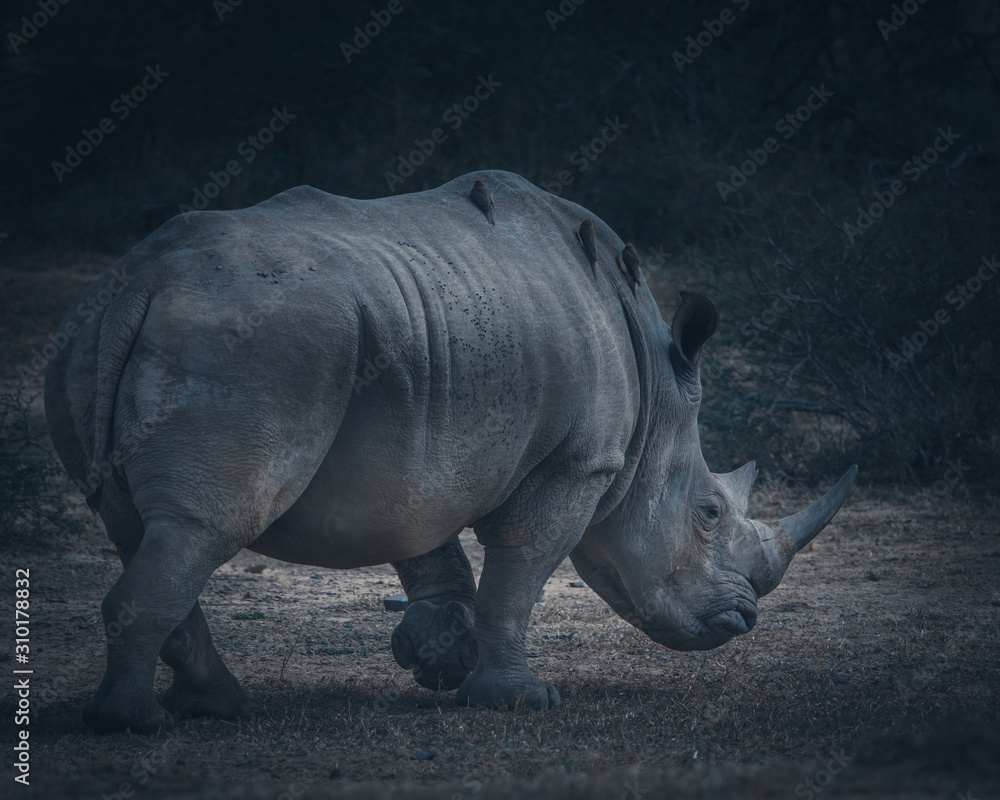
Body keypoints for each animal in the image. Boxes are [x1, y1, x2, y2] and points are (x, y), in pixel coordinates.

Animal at [44, 170, 856, 733]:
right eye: (710, 513)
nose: (741, 621)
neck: (656, 401)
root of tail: (141, 281)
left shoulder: (418, 444)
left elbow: (424, 538)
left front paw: (441, 662)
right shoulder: (581, 461)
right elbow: (519, 573)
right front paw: (518, 701)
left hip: (97, 335)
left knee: (141, 526)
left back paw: (214, 708)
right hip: (256, 347)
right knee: (204, 526)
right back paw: (139, 725)